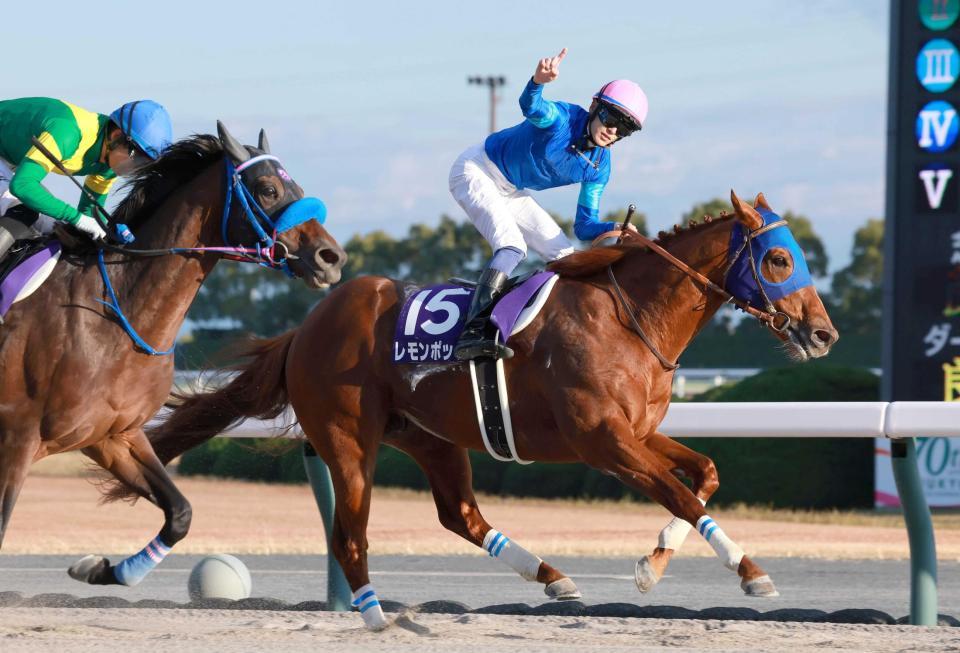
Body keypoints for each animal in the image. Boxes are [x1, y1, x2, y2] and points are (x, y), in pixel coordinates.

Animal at [0, 122, 344, 584]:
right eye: (268, 189)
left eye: (299, 187)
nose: (332, 257)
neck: (111, 316)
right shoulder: (16, 439)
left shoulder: (113, 434)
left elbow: (180, 512)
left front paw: (105, 569)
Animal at [144, 191, 840, 628]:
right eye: (779, 257)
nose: (823, 334)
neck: (629, 317)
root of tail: (307, 326)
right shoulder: (603, 441)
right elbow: (681, 494)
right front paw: (750, 571)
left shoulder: (638, 431)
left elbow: (703, 477)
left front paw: (651, 566)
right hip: (347, 439)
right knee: (349, 535)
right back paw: (375, 615)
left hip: (429, 435)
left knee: (460, 515)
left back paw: (553, 577)